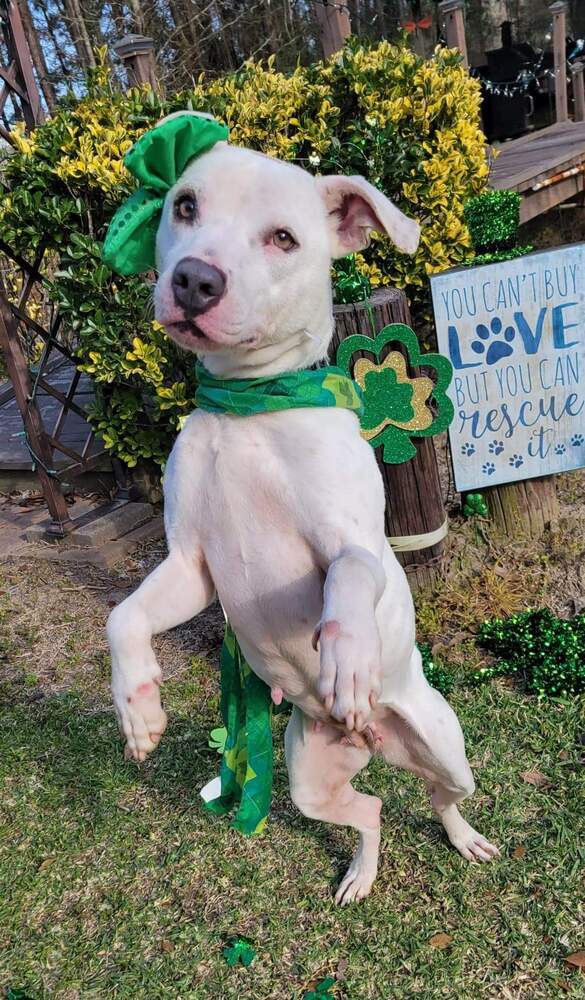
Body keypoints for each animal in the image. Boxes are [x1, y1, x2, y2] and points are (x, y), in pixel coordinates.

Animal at [107, 135, 500, 908]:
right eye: (184, 205)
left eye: (283, 239)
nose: (194, 280)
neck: (249, 404)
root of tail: (373, 740)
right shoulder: (190, 566)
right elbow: (122, 615)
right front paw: (137, 706)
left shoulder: (352, 543)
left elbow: (348, 579)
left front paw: (346, 658)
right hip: (307, 781)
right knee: (370, 811)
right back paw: (359, 873)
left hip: (446, 748)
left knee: (442, 796)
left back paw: (463, 836)